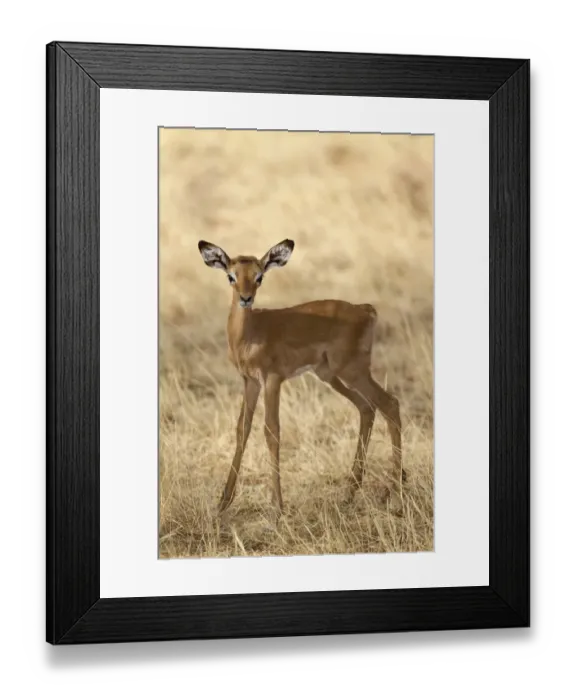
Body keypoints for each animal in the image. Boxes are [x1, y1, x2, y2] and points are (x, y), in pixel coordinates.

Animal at [198, 238, 404, 518]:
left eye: (259, 276)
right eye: (231, 275)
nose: (246, 299)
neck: (250, 334)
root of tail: (366, 310)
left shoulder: (272, 380)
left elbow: (271, 431)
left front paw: (277, 506)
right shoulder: (250, 382)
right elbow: (242, 429)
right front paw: (223, 503)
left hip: (353, 371)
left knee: (390, 404)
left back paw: (396, 495)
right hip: (330, 375)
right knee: (367, 407)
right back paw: (350, 493)